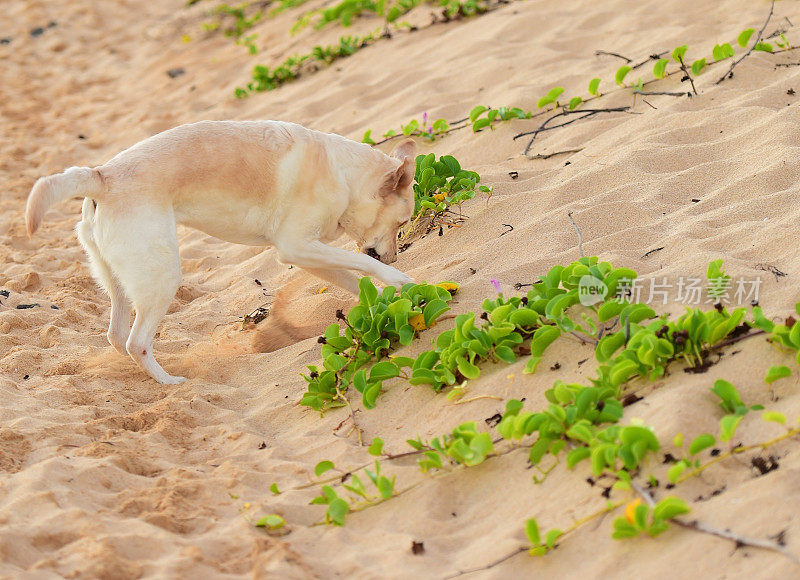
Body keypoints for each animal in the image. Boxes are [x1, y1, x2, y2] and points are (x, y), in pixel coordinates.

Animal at [24, 121, 416, 386]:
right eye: (402, 222)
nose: (396, 257)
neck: (344, 175)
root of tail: (101, 175)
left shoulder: (306, 254)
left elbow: (354, 278)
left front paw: (383, 301)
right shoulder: (297, 246)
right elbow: (363, 262)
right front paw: (399, 279)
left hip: (121, 282)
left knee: (117, 336)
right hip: (162, 278)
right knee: (137, 342)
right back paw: (169, 382)